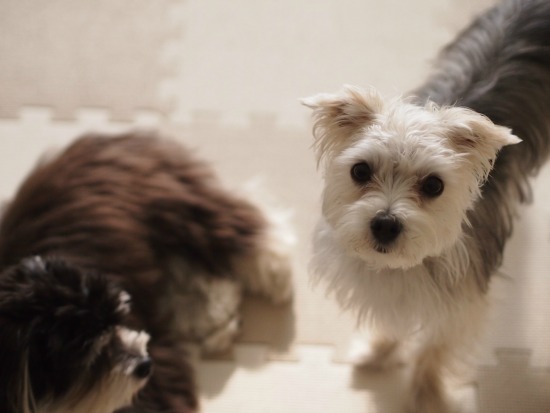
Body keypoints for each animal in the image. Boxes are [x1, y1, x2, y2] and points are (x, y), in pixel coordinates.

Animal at [0, 132, 294, 412]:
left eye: (117, 321)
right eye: (91, 356)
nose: (145, 363)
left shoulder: (157, 388)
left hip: (168, 208)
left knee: (237, 223)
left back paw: (275, 270)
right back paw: (219, 323)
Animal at [304, 0, 550, 410]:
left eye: (434, 185)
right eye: (360, 170)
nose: (385, 224)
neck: (403, 268)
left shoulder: (460, 306)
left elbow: (435, 348)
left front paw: (424, 394)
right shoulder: (390, 295)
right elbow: (392, 323)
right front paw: (378, 353)